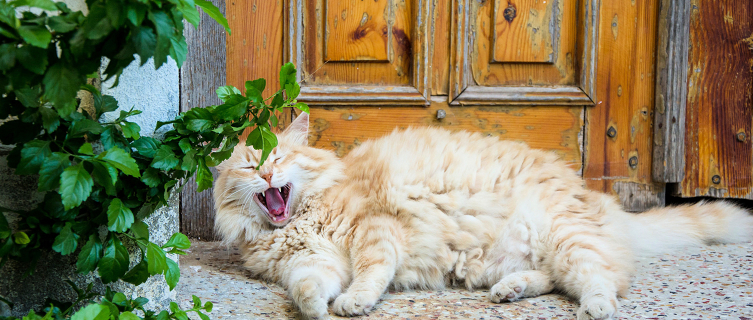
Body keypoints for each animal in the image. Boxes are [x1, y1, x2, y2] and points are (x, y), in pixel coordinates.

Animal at [212, 113, 752, 320]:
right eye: (249, 166)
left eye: (279, 157)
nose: (267, 174)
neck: (300, 220)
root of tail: (601, 201)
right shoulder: (311, 263)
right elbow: (307, 289)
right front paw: (318, 309)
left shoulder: (376, 230)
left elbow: (369, 273)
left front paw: (354, 302)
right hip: (505, 259)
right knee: (553, 279)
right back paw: (510, 291)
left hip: (567, 238)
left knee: (603, 281)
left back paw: (595, 308)